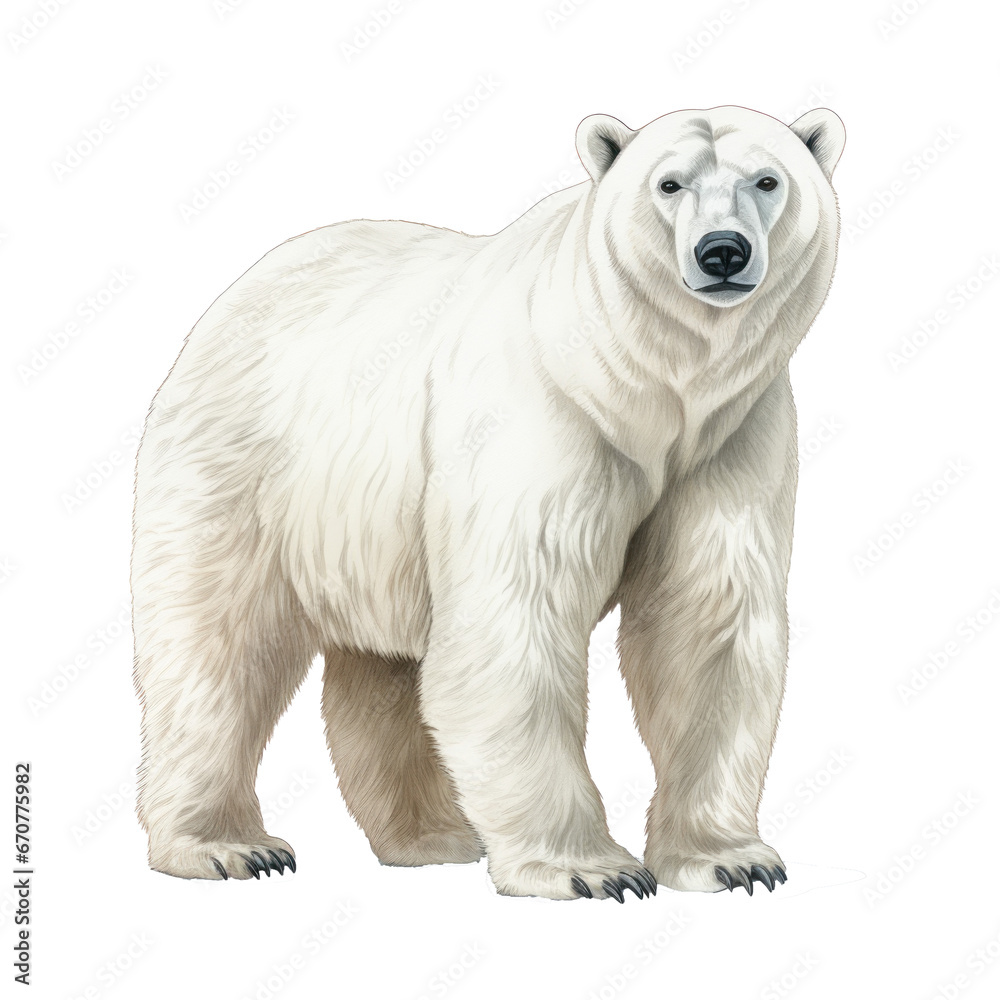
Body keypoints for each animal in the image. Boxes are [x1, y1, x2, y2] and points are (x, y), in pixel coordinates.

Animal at [132, 104, 844, 900]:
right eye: (669, 183)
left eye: (768, 179)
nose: (722, 251)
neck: (644, 387)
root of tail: (234, 293)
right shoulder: (542, 416)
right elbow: (517, 621)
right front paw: (590, 869)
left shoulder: (728, 440)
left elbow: (704, 625)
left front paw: (732, 859)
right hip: (248, 467)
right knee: (218, 645)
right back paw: (230, 845)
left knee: (384, 669)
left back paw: (434, 834)